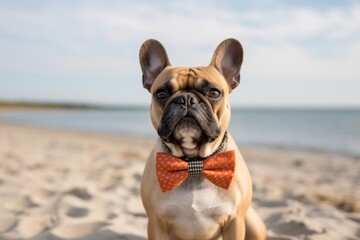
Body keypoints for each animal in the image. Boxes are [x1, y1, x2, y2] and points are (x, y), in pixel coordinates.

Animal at [138, 38, 264, 239]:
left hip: (251, 221)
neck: (194, 163)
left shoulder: (235, 221)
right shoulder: (156, 223)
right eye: (161, 94)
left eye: (214, 93)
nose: (186, 99)